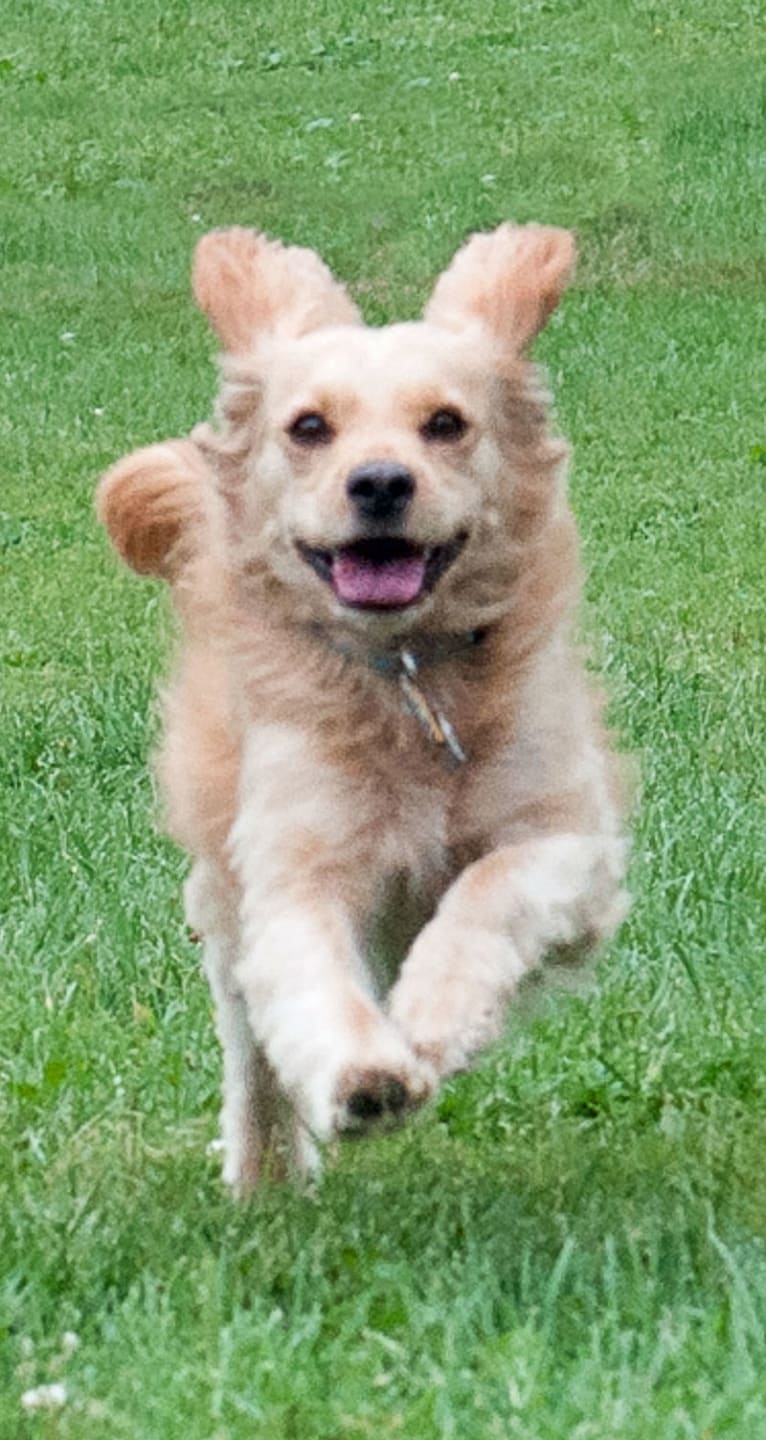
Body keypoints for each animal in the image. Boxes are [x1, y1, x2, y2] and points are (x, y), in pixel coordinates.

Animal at [97, 221, 627, 1192]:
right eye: (309, 427)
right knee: (255, 1061)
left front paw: (434, 1019)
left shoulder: (570, 844)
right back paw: (264, 1180)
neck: (407, 677)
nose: (380, 482)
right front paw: (366, 1074)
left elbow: (486, 893)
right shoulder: (292, 862)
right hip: (223, 909)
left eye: (446, 423)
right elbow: (311, 981)